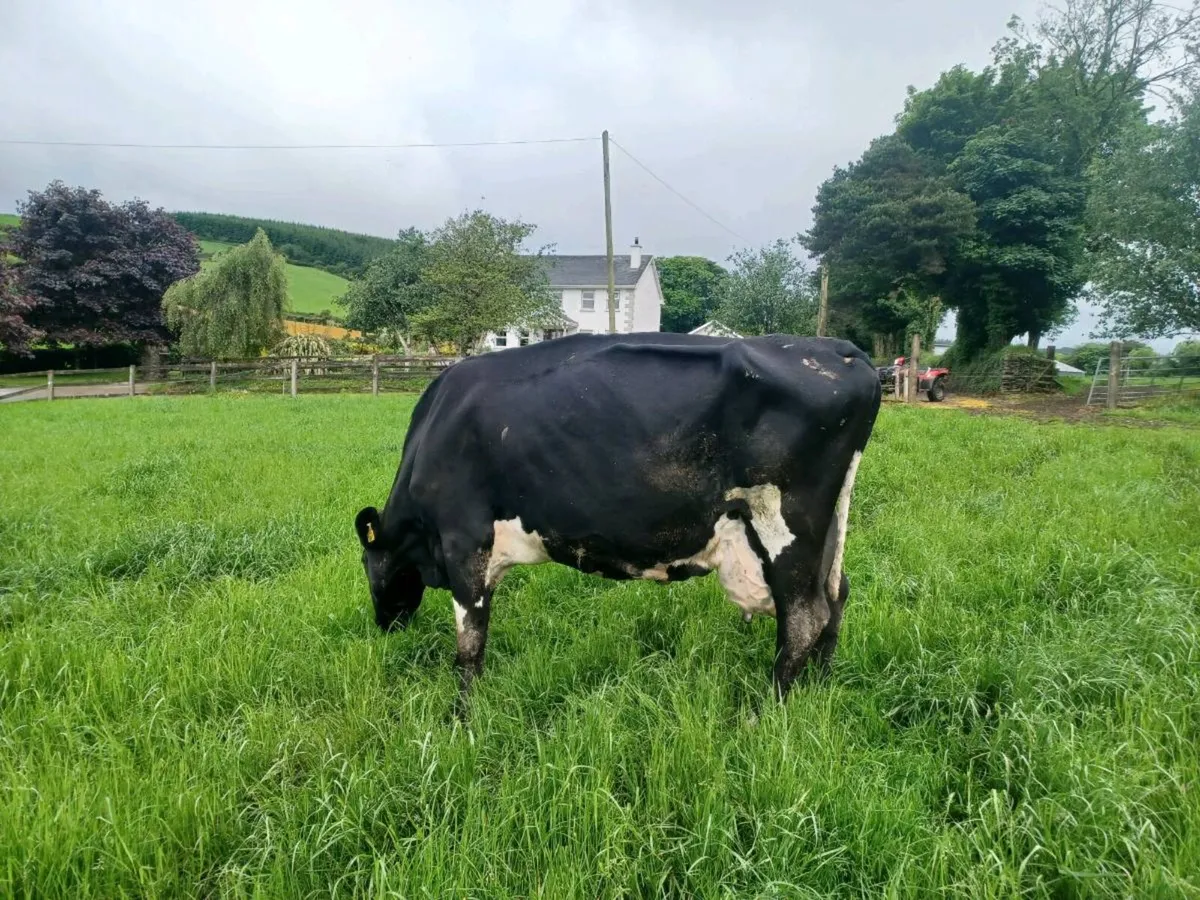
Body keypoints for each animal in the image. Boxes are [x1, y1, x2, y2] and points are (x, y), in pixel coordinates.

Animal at [354, 331, 881, 706]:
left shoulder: (464, 540)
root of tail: (837, 349)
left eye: (366, 565)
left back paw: (765, 713)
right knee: (836, 595)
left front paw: (462, 715)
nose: (385, 627)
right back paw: (817, 691)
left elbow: (470, 643)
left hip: (785, 519)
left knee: (805, 617)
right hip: (827, 526)